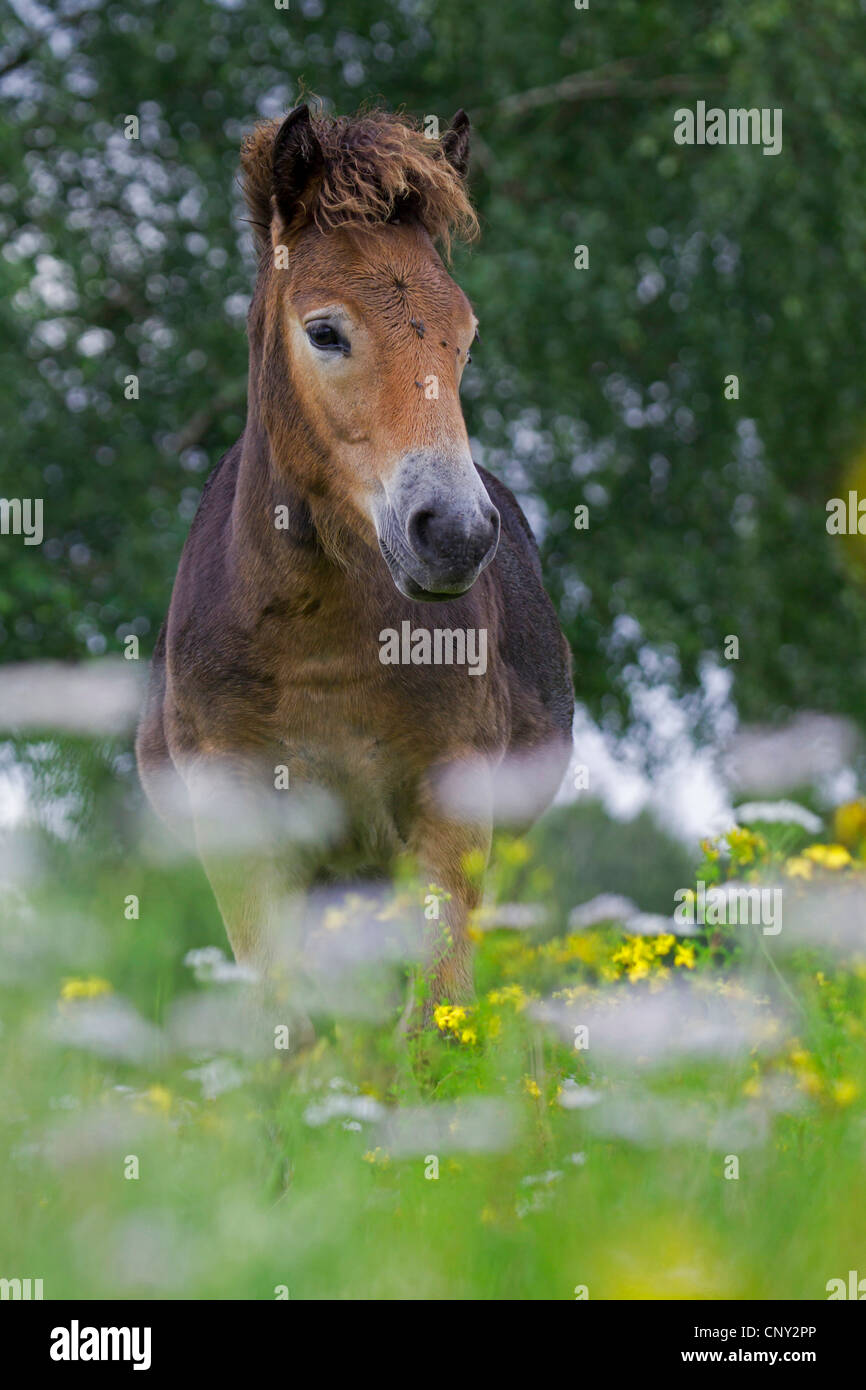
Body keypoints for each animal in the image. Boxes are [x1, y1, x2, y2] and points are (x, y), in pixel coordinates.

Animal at [136, 104, 574, 1036]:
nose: (454, 531)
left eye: (465, 338)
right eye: (326, 331)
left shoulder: (451, 815)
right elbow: (291, 1030)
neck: (322, 640)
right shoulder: (244, 836)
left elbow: (432, 1024)